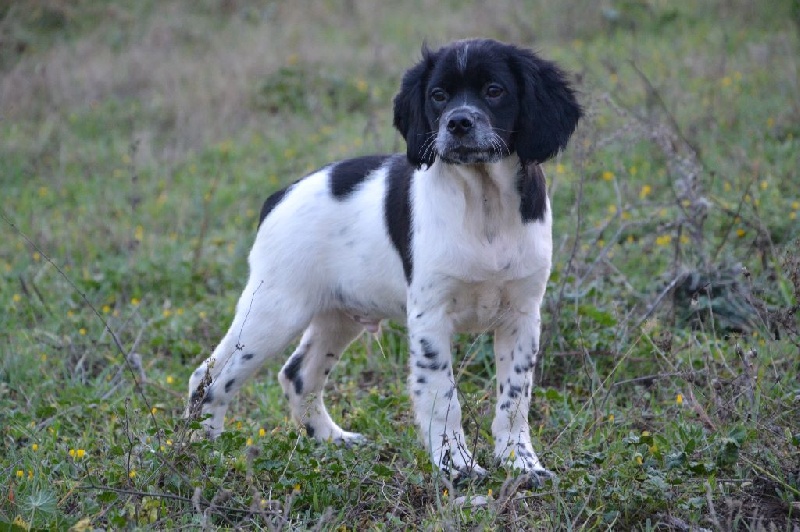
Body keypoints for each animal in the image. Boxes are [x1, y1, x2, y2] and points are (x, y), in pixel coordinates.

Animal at [188, 38, 580, 482]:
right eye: (438, 95)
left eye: (494, 90)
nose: (458, 124)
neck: (484, 204)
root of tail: (280, 195)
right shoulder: (430, 316)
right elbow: (443, 396)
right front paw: (456, 466)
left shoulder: (523, 315)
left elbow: (514, 398)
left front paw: (521, 463)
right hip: (274, 310)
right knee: (210, 378)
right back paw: (204, 452)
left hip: (337, 314)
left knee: (298, 376)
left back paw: (332, 440)